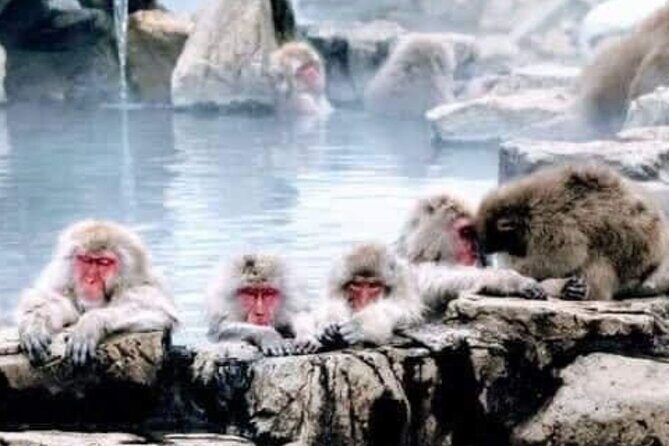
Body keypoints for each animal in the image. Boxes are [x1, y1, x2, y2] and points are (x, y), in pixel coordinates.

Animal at [17, 220, 179, 366]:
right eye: (86, 259)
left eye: (104, 262)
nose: (90, 280)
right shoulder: (60, 282)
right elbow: (52, 302)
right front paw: (35, 323)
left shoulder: (144, 288)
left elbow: (160, 312)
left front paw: (90, 323)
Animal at [316, 242, 545, 348]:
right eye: (356, 285)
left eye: (373, 286)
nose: (363, 302)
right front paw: (325, 327)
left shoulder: (420, 289)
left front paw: (362, 326)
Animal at [476, 164, 669, 301]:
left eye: (492, 238)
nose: (484, 250)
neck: (525, 210)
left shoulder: (549, 223)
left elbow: (566, 256)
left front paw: (521, 272)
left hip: (634, 258)